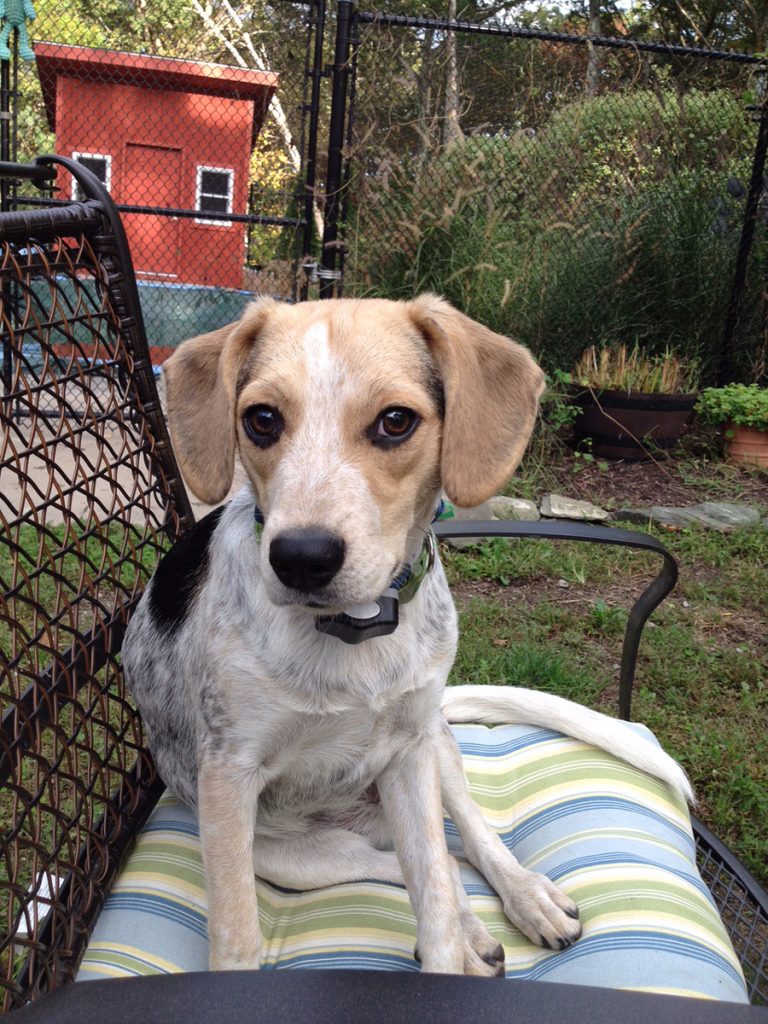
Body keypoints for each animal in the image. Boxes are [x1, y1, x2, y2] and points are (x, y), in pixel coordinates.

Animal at [123, 296, 696, 974]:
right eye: (261, 420)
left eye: (395, 422)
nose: (300, 559)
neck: (357, 631)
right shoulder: (228, 779)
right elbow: (238, 936)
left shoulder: (409, 753)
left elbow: (437, 898)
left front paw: (453, 951)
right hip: (294, 859)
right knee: (411, 865)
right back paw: (478, 933)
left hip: (434, 747)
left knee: (462, 844)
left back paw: (525, 898)